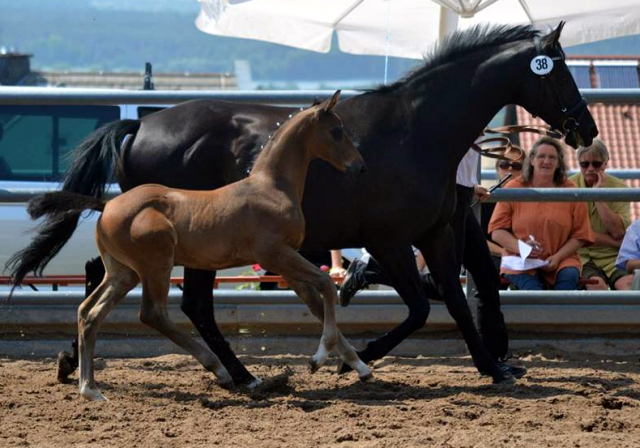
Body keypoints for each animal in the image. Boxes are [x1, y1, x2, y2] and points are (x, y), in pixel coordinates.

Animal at [8, 22, 600, 386]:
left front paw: (492, 367)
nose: (586, 128)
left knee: (107, 277)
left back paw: (78, 361)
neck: (415, 130)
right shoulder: (390, 239)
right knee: (188, 304)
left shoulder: (434, 233)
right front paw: (356, 358)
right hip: (187, 247)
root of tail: (139, 127)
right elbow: (417, 307)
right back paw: (241, 375)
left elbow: (453, 299)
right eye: (559, 67)